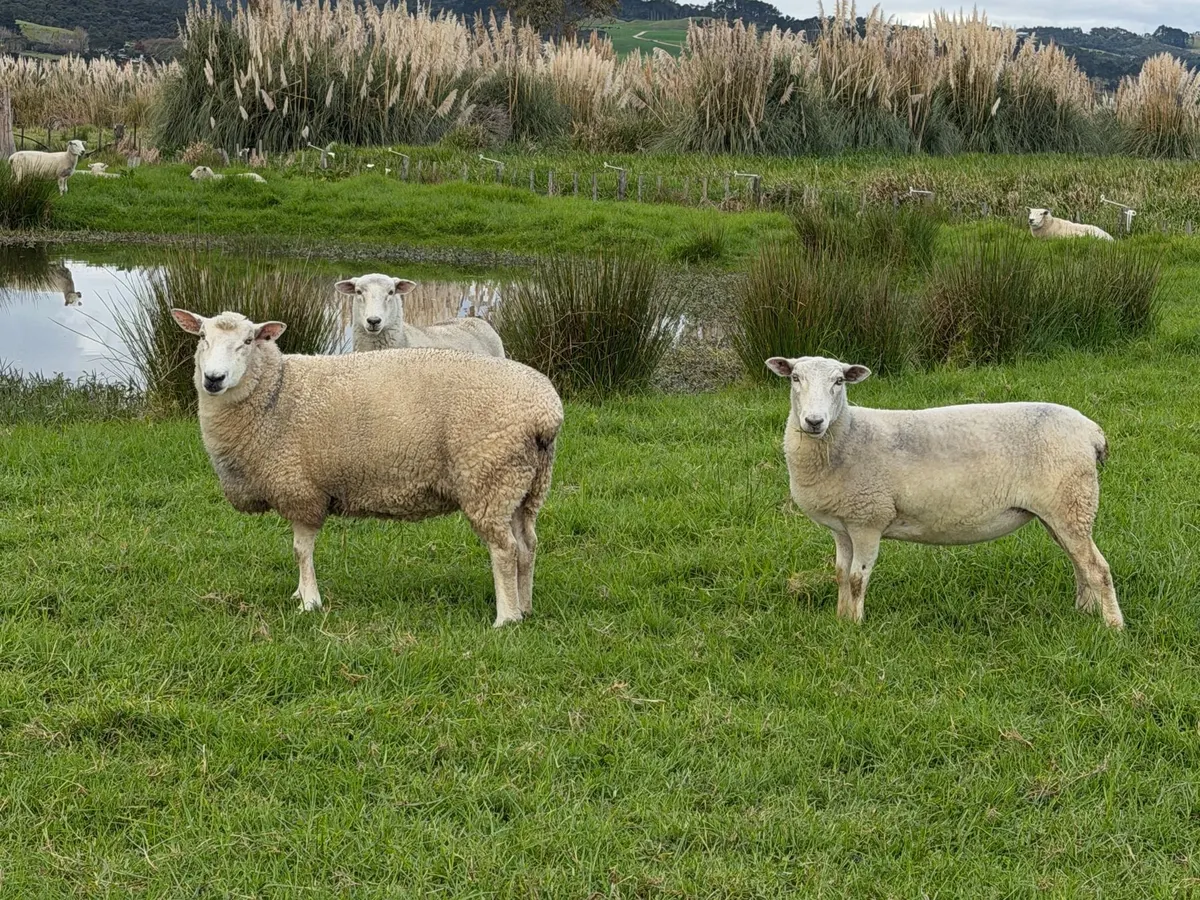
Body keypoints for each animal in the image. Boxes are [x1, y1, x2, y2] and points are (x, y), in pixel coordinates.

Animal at [170, 308, 562, 627]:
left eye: (248, 341)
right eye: (202, 337)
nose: (213, 379)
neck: (275, 392)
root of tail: (546, 410)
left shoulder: (302, 491)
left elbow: (301, 551)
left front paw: (309, 602)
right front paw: (300, 594)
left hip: (488, 478)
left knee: (505, 549)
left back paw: (506, 618)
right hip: (523, 485)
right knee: (527, 545)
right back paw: (526, 608)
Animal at [767, 354, 1123, 629]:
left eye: (839, 381)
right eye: (795, 378)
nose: (814, 421)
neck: (849, 435)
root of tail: (1092, 432)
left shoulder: (869, 519)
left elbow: (857, 579)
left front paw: (855, 628)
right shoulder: (843, 526)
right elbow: (841, 575)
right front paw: (841, 620)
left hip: (1071, 501)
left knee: (1098, 569)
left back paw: (1113, 626)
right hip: (1061, 510)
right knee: (1079, 563)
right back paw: (1084, 612)